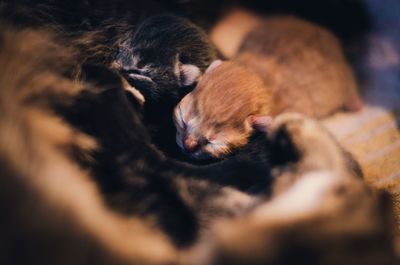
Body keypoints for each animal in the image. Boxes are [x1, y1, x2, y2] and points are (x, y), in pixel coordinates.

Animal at [174, 17, 362, 161]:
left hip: (343, 75)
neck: (258, 73)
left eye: (212, 141)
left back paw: (355, 104)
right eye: (183, 120)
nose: (188, 145)